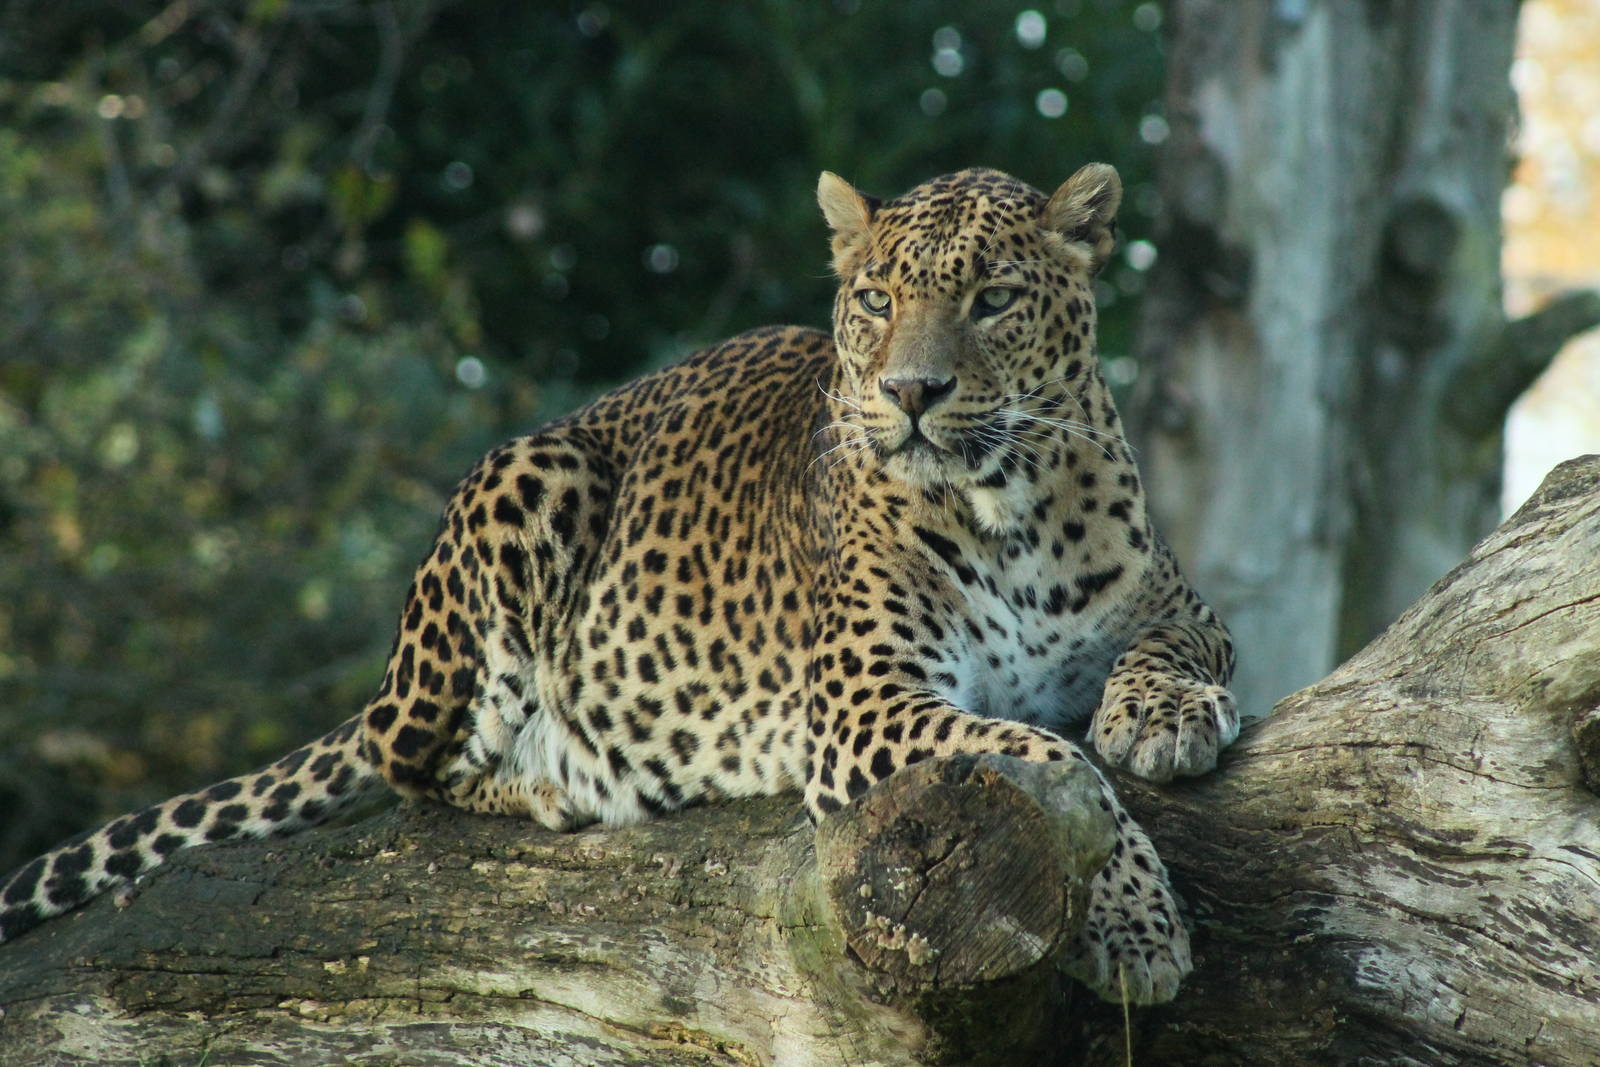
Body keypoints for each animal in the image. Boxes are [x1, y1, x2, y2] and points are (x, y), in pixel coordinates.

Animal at [0, 163, 1237, 1005]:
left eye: (992, 300)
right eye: (878, 299)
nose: (912, 393)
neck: (1006, 500)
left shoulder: (1183, 604)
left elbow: (1166, 650)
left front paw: (1163, 713)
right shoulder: (862, 701)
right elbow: (1049, 762)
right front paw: (1136, 920)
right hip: (524, 488)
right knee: (424, 768)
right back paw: (555, 778)